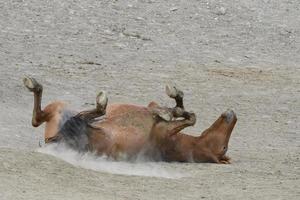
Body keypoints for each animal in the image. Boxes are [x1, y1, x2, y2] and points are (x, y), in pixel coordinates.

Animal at [23, 77, 237, 163]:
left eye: (224, 148)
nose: (233, 114)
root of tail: (53, 142)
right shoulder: (152, 107)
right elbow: (180, 110)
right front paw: (173, 98)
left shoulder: (164, 130)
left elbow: (190, 118)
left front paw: (170, 109)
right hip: (60, 109)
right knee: (37, 118)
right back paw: (33, 84)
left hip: (78, 126)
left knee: (83, 116)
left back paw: (101, 103)